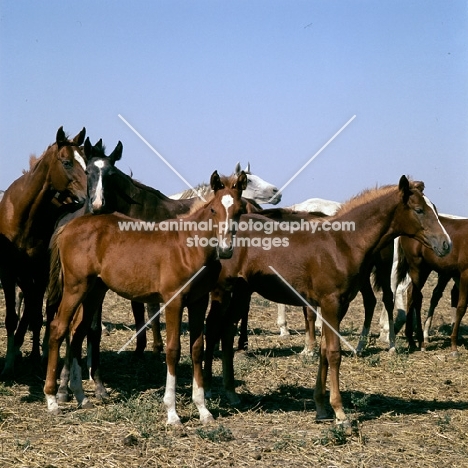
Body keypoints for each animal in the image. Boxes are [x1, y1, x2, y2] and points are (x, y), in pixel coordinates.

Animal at [0, 127, 87, 376]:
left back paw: (41, 352)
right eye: (67, 162)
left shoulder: (39, 273)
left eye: (85, 160)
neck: (23, 215)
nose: (88, 196)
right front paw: (9, 362)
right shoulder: (8, 273)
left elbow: (38, 314)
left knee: (45, 311)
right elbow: (13, 317)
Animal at [45, 171, 247, 424]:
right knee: (58, 328)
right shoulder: (174, 301)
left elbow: (197, 349)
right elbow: (173, 350)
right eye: (213, 210)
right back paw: (52, 400)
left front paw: (203, 410)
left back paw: (81, 397)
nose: (226, 249)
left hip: (94, 290)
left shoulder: (199, 302)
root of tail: (68, 227)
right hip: (75, 286)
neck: (189, 248)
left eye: (240, 209)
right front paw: (172, 414)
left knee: (77, 331)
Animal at [204, 176, 450, 424]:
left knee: (227, 330)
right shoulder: (331, 303)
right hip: (222, 291)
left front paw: (321, 407)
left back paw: (231, 393)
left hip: (241, 293)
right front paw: (340, 412)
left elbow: (323, 350)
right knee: (212, 328)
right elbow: (334, 353)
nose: (446, 244)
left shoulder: (340, 306)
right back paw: (206, 391)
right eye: (419, 210)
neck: (343, 243)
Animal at [394, 216, 468, 354]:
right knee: (416, 296)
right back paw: (420, 341)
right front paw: (454, 346)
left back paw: (411, 340)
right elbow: (461, 307)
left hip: (425, 268)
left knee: (411, 293)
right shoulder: (464, 274)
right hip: (417, 266)